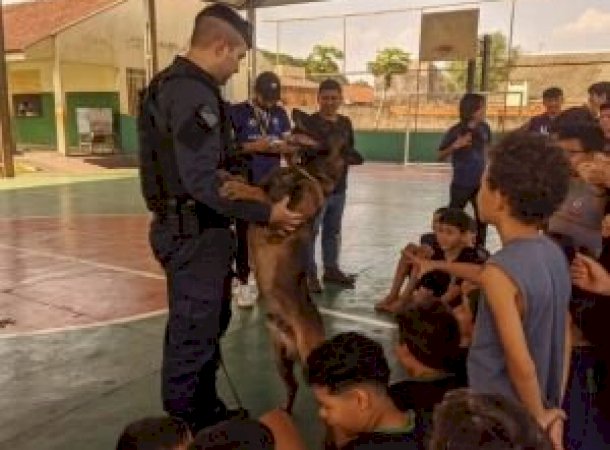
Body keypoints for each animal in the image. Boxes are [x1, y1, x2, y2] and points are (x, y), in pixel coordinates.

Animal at [218, 109, 346, 412]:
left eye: (324, 125)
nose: (294, 112)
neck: (307, 172)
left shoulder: (281, 214)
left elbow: (259, 194)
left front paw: (235, 186)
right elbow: (254, 186)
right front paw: (230, 177)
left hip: (309, 363)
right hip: (280, 361)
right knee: (293, 387)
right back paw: (283, 412)